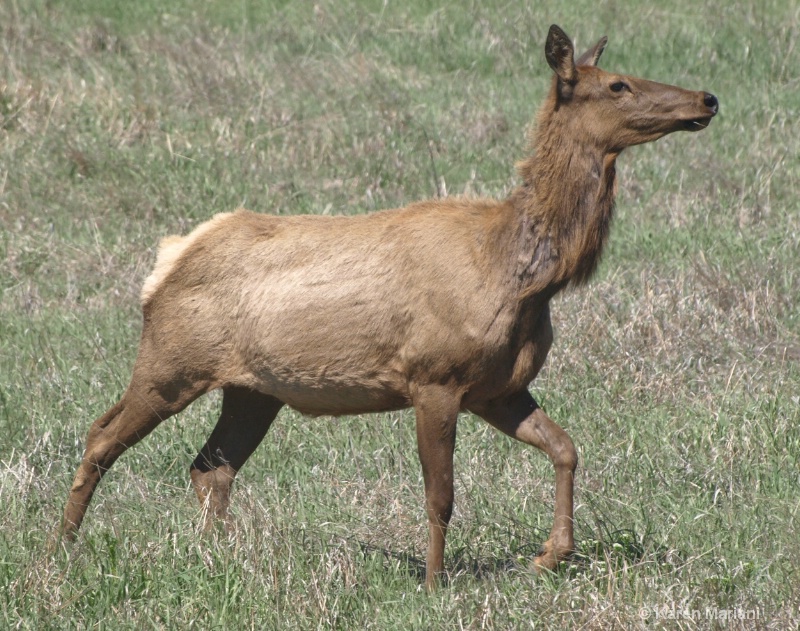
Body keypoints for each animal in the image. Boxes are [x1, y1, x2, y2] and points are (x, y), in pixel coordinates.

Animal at [57, 25, 720, 592]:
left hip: (252, 389)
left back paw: (220, 557)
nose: (708, 98)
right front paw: (432, 583)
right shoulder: (435, 376)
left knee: (209, 466)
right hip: (172, 359)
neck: (519, 277)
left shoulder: (498, 386)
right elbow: (441, 494)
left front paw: (549, 555)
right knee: (101, 435)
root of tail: (166, 261)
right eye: (617, 85)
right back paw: (62, 547)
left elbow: (565, 446)